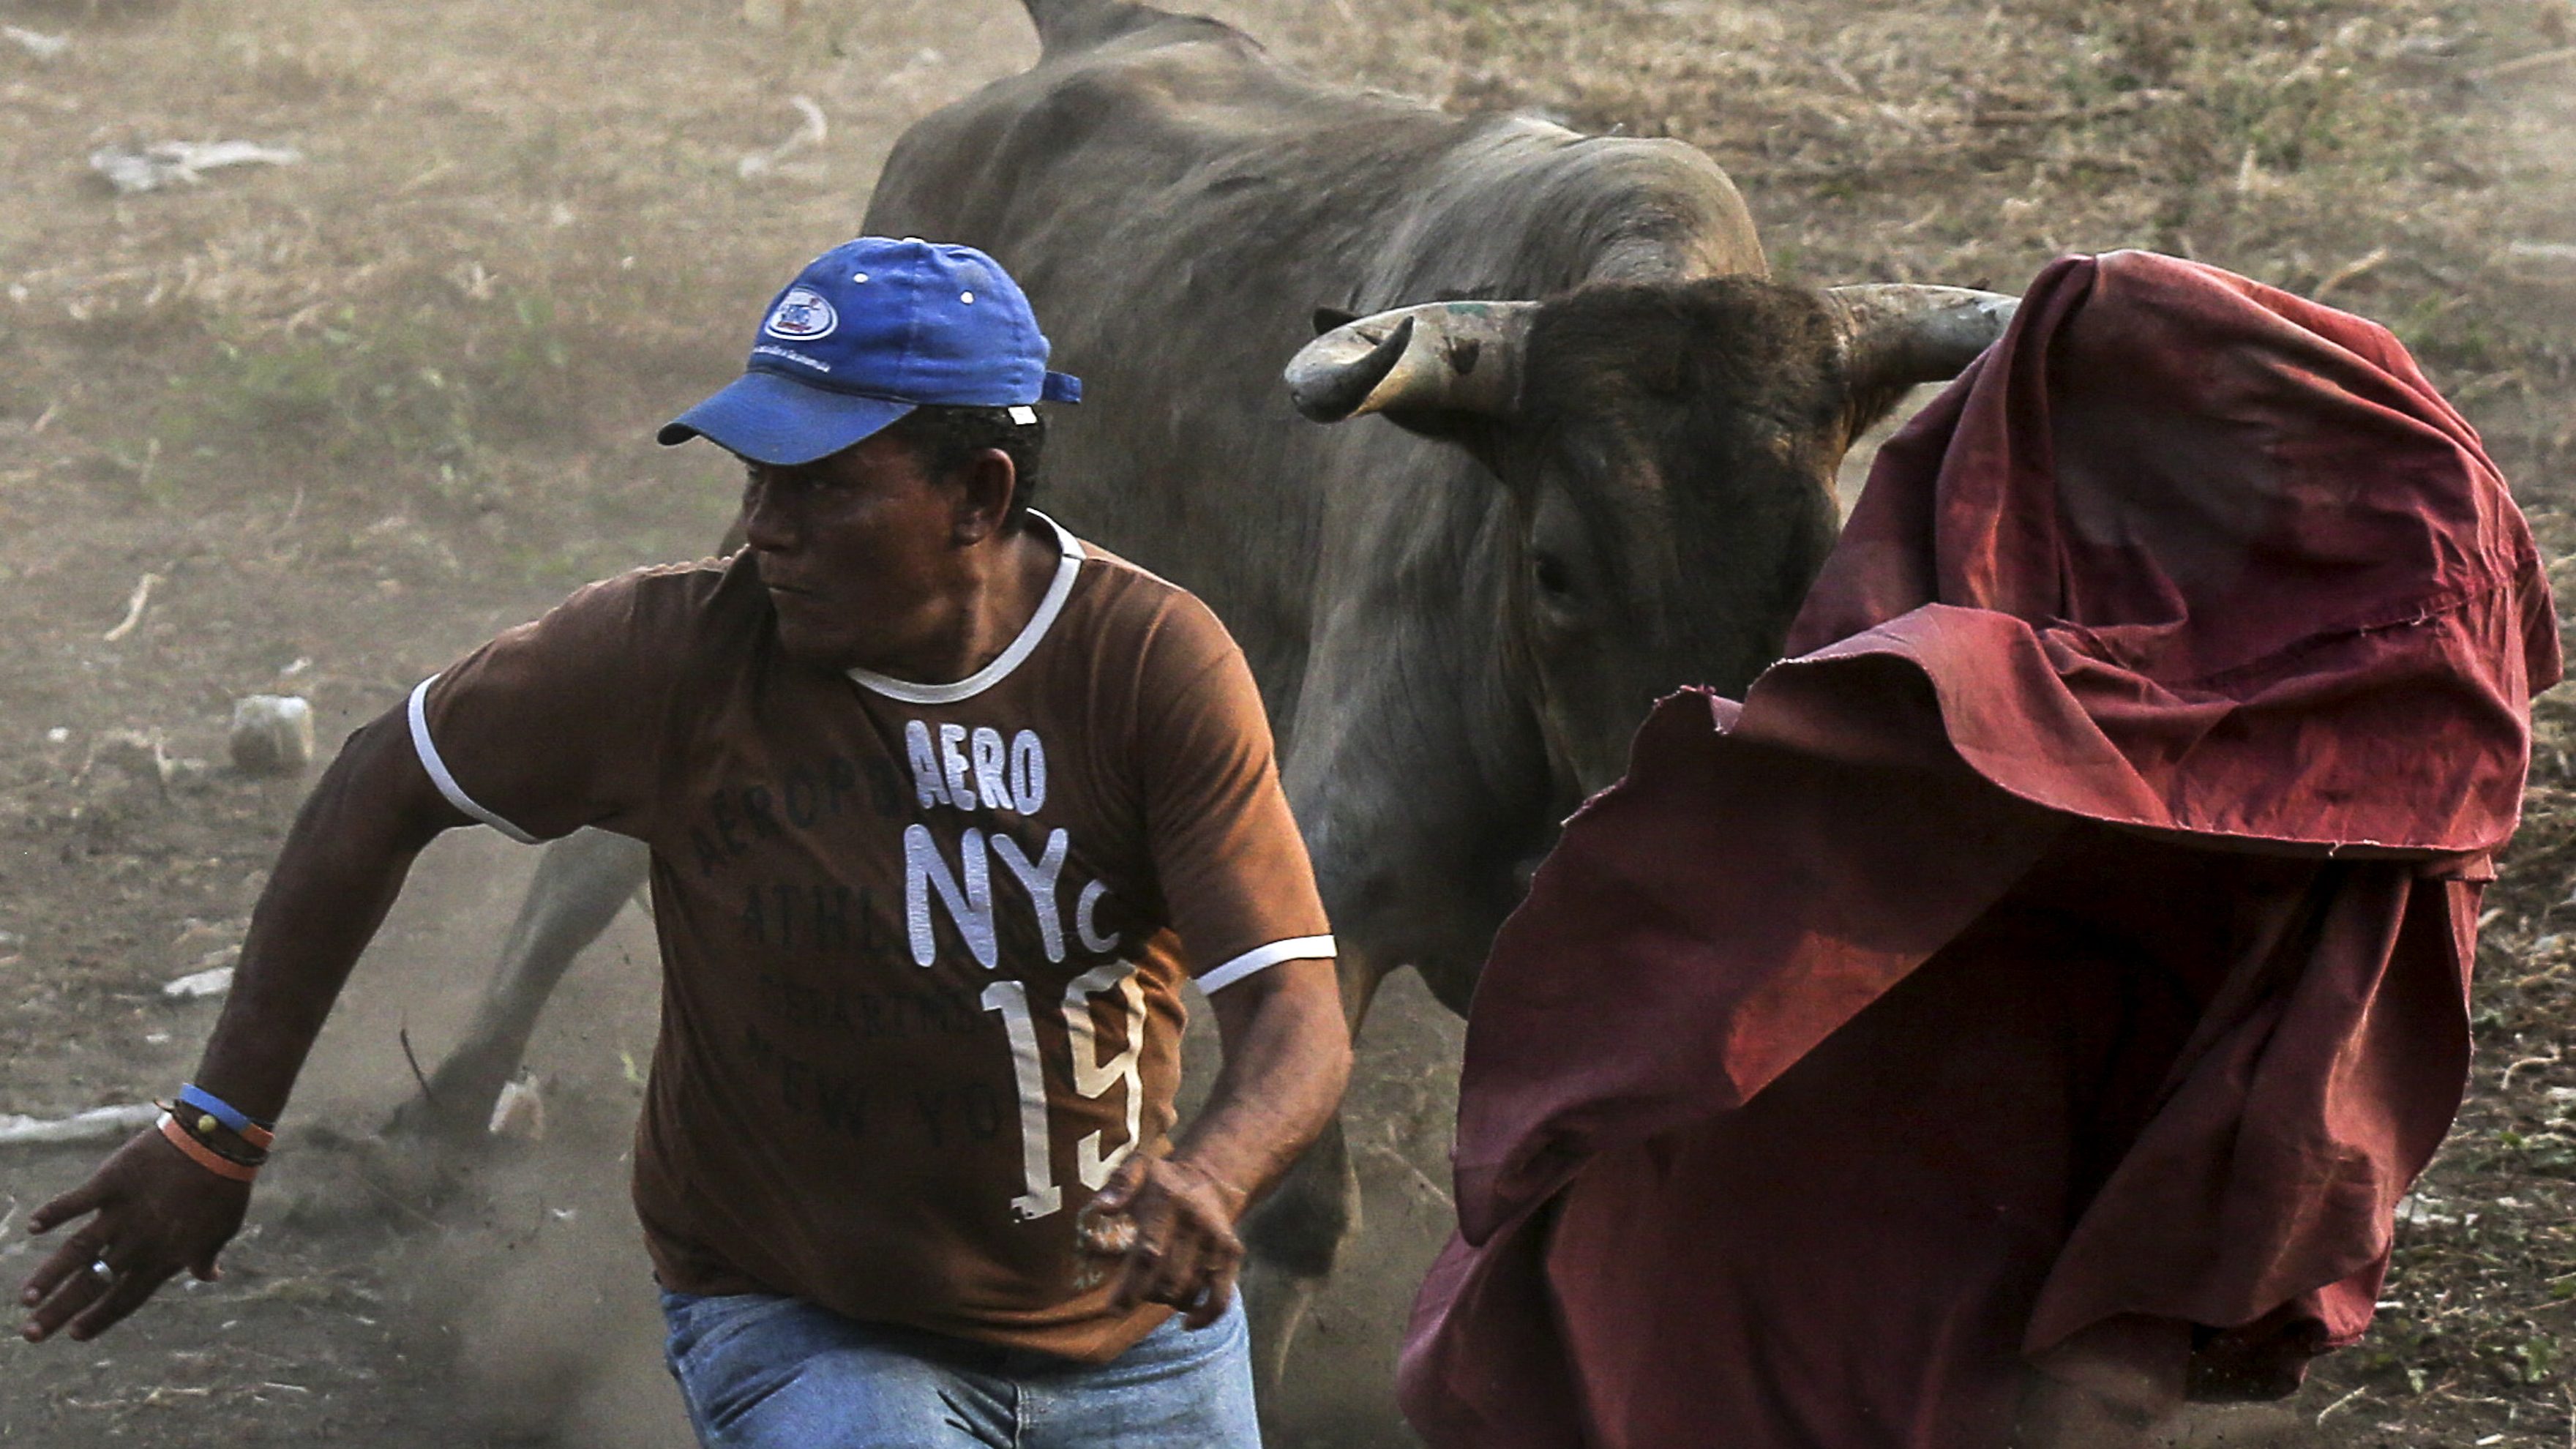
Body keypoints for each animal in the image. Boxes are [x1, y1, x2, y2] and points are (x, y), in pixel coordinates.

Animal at [402, 0, 2009, 1392]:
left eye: (1815, 559)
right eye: (1556, 566)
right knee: (591, 853)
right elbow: (1299, 1217)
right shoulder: (1334, 874)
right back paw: (452, 1100)